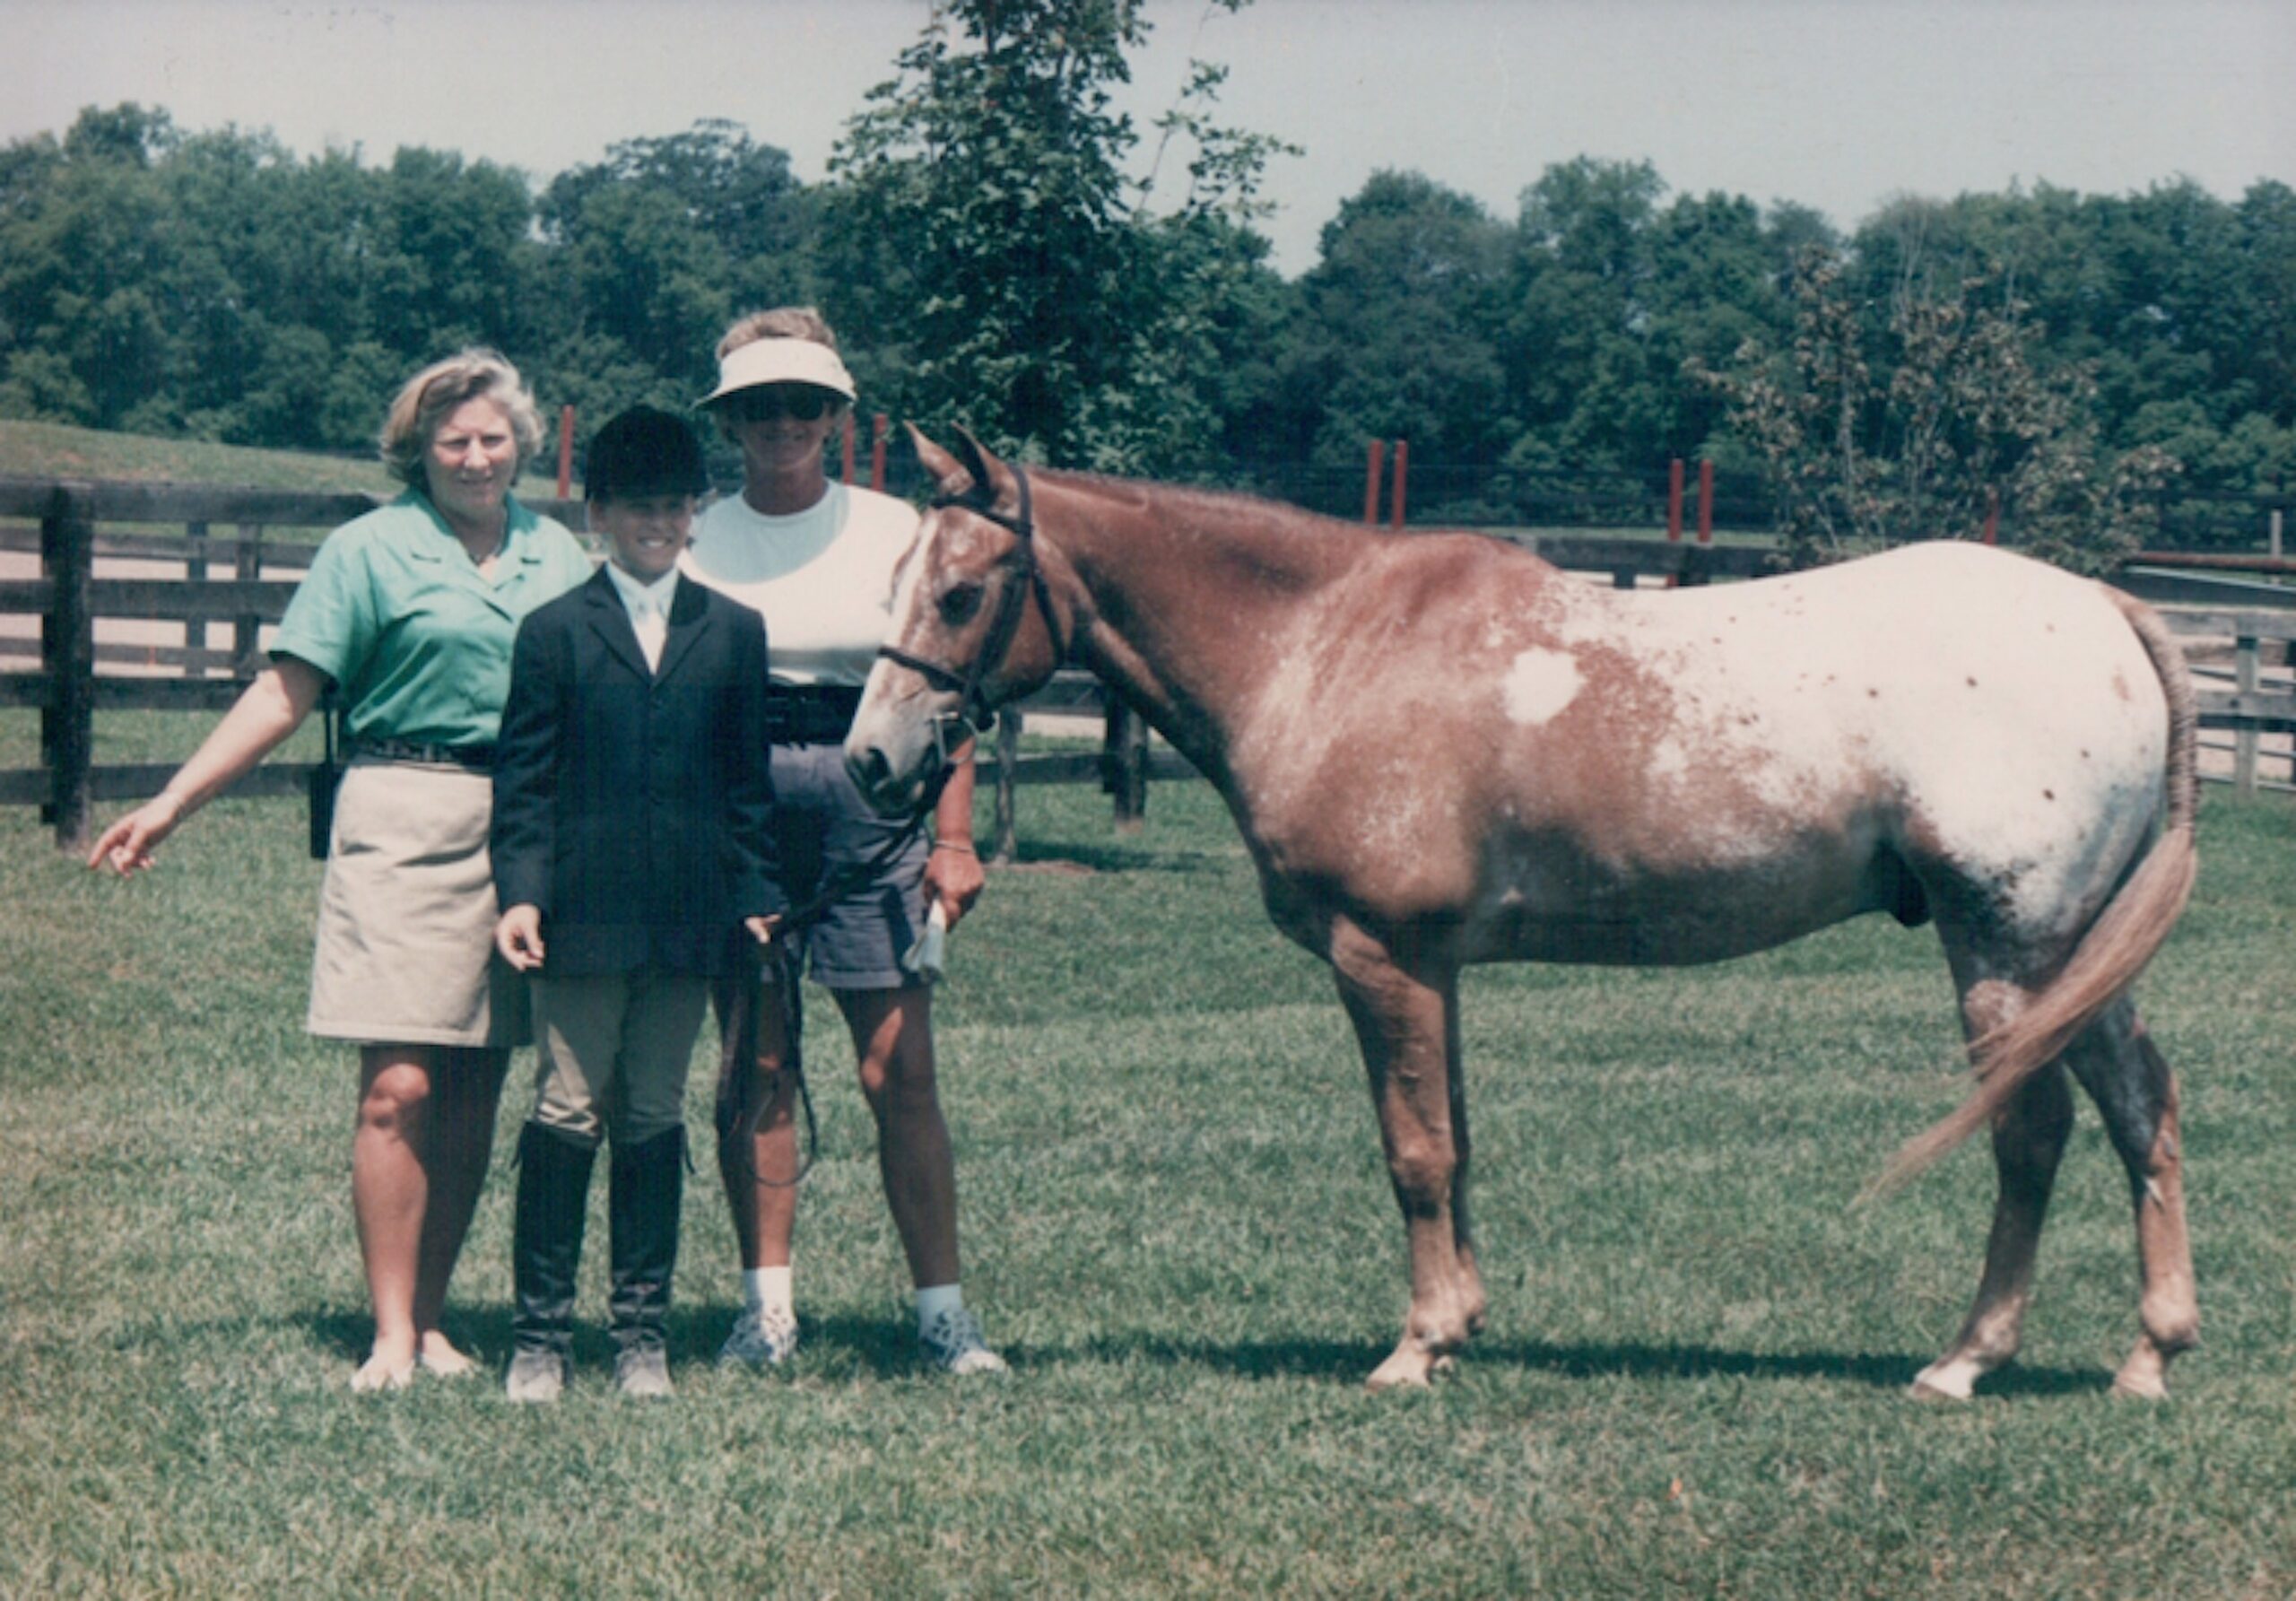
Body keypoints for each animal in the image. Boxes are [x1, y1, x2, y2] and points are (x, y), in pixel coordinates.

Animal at [847, 428, 2200, 1398]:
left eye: (960, 593)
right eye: (899, 578)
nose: (870, 759)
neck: (1323, 643)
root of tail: (2104, 609)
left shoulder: (1380, 956)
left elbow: (1413, 1151)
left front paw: (1415, 1348)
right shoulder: (1434, 969)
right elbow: (1454, 1142)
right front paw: (1461, 1327)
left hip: (2006, 946)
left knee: (2030, 1133)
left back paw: (1965, 1360)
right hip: (2079, 954)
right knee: (2142, 1109)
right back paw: (2149, 1354)